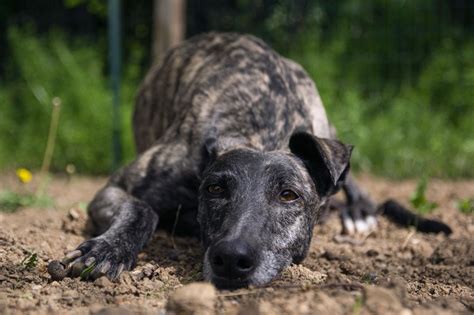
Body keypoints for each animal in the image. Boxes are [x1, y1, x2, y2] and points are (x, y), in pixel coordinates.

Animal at [53, 33, 450, 290]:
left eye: (289, 195)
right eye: (215, 189)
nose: (231, 259)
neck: (263, 129)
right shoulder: (116, 188)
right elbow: (142, 209)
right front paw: (106, 250)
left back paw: (359, 212)